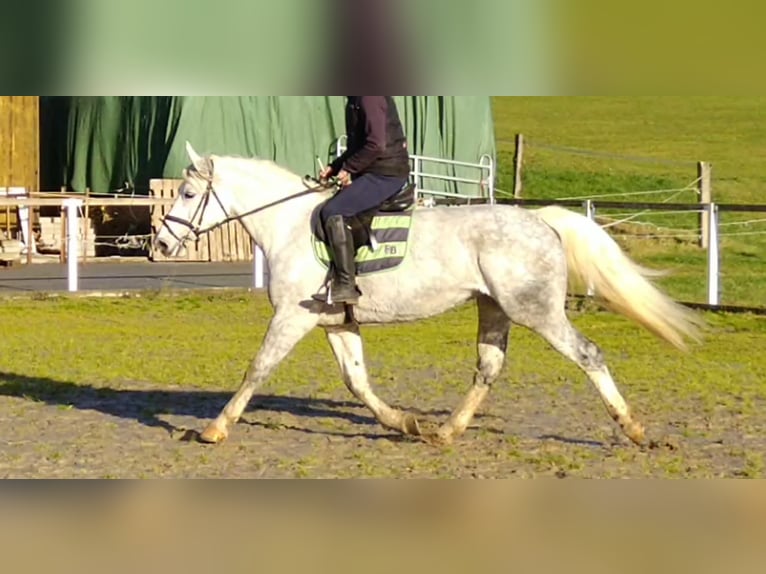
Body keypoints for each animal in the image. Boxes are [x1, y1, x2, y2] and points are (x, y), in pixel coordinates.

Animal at [154, 142, 702, 447]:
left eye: (187, 194)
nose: (159, 245)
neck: (289, 226)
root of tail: (540, 220)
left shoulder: (292, 317)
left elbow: (257, 369)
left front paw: (215, 429)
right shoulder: (335, 322)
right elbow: (358, 381)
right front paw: (404, 423)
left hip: (536, 311)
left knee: (588, 355)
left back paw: (633, 429)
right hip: (494, 309)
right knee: (488, 368)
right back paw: (445, 432)